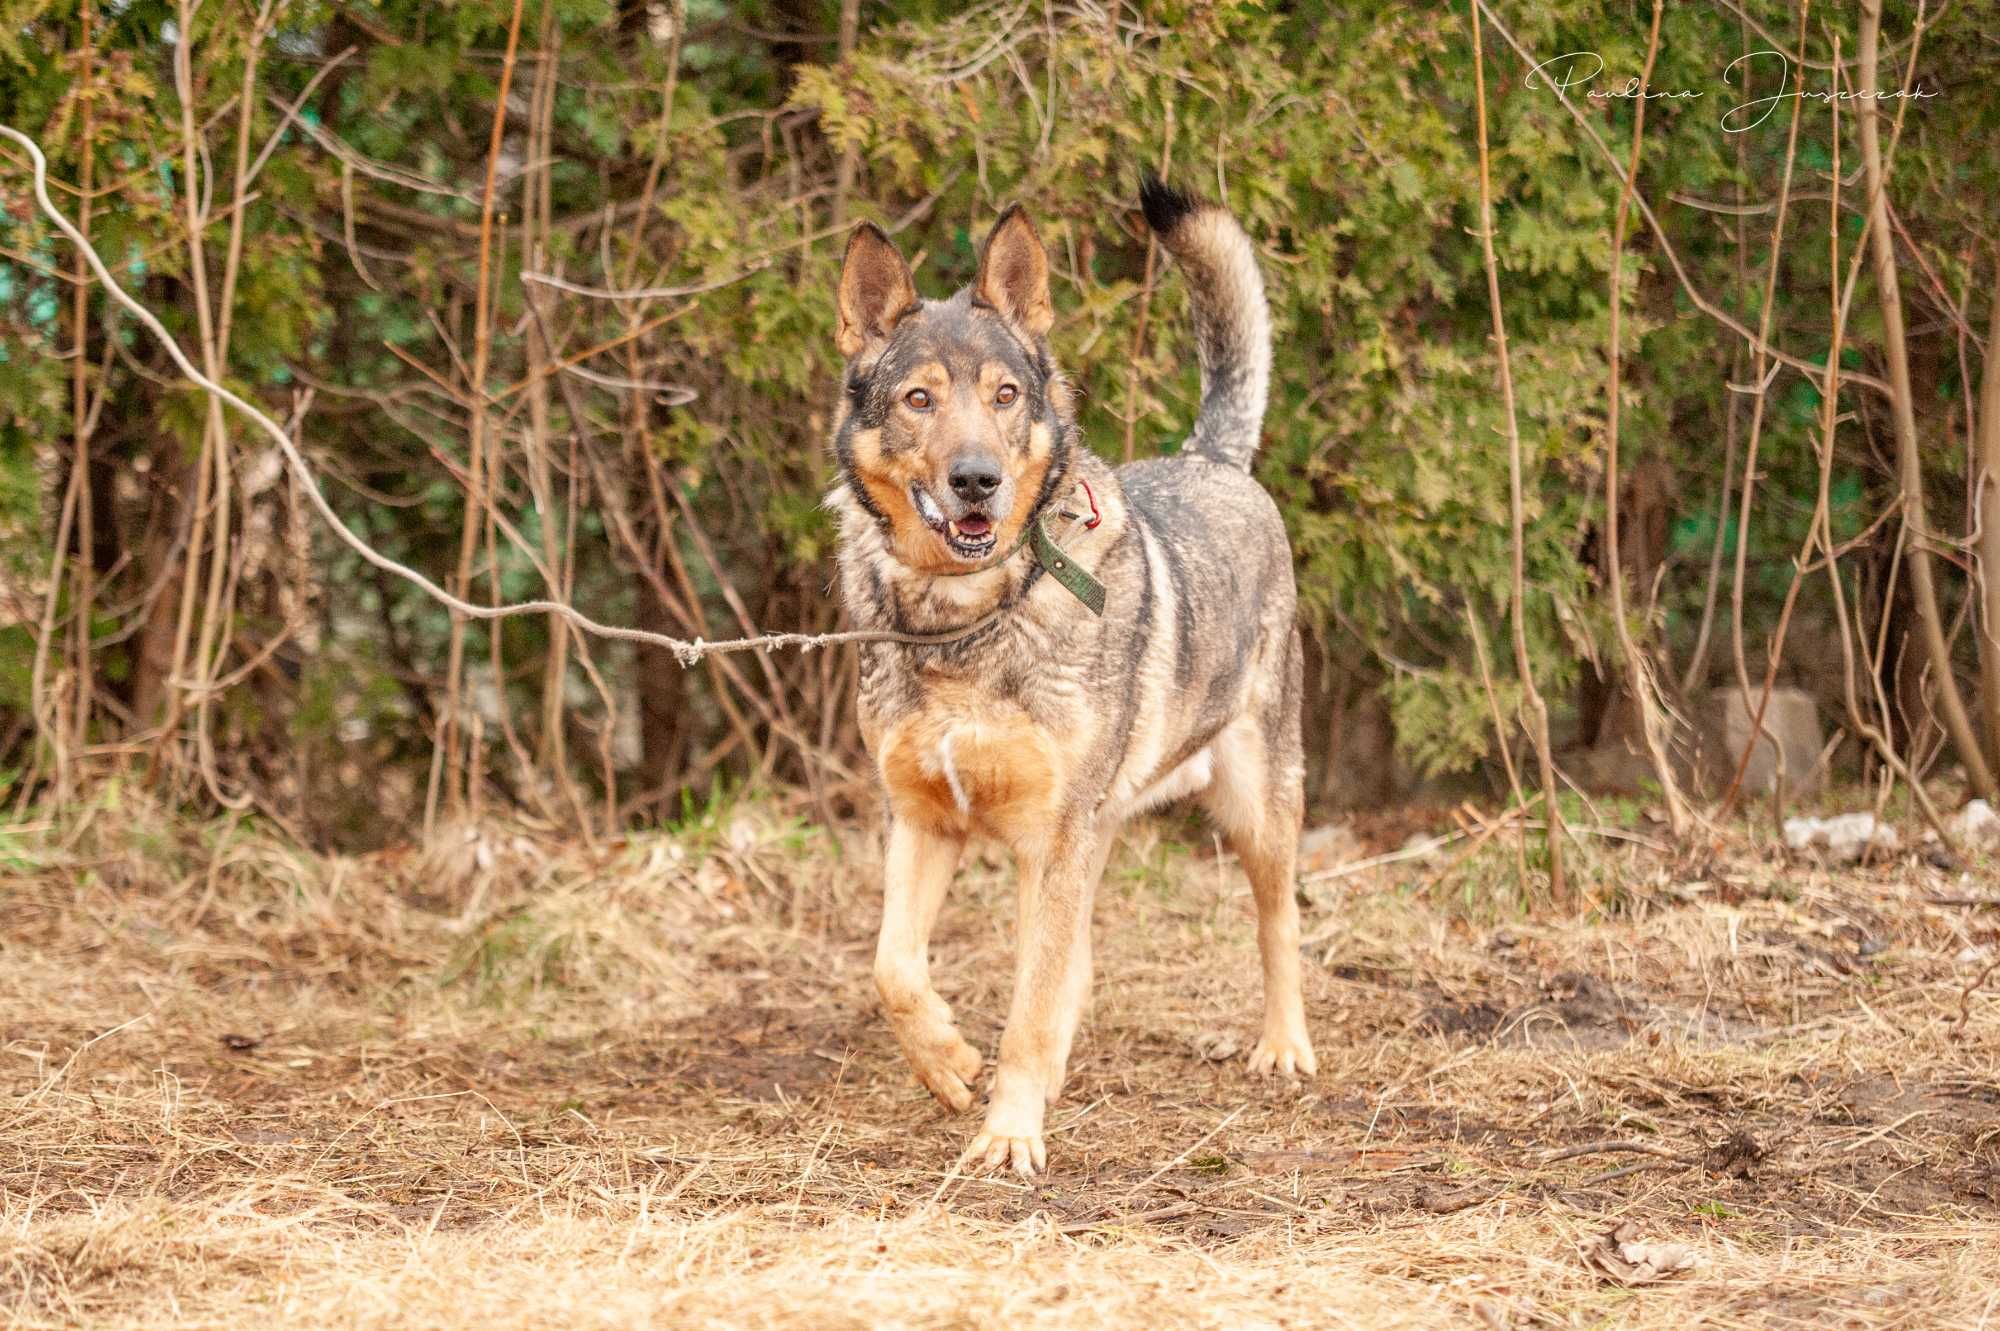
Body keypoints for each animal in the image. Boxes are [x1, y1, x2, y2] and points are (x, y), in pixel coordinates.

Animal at [828, 168, 1312, 1175]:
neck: (968, 618)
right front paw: (948, 1062)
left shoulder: (1050, 839)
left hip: (1256, 804)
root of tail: (1214, 459)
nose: (977, 479)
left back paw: (1284, 1045)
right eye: (919, 400)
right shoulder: (922, 820)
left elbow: (1029, 1002)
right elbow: (894, 969)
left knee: (1277, 920)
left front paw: (1009, 1132)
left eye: (1007, 394)